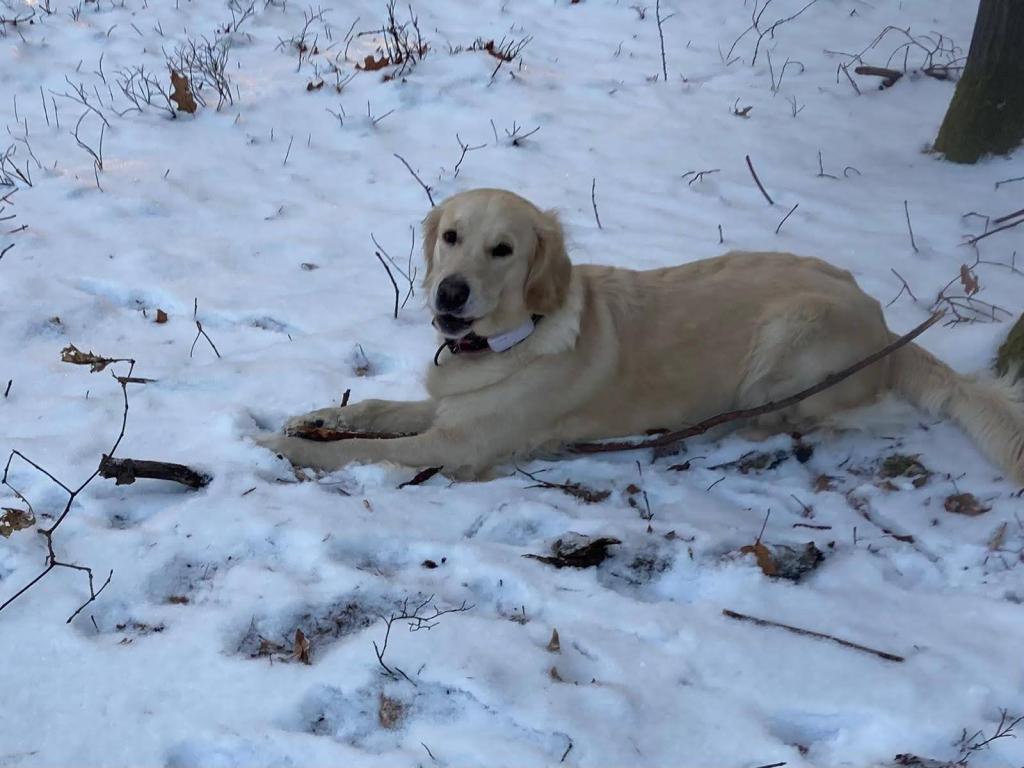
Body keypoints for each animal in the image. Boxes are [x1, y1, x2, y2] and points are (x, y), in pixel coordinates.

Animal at [255, 188, 1024, 483]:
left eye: (503, 250)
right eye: (451, 236)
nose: (450, 292)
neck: (510, 339)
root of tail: (888, 321)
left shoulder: (456, 445)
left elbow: (359, 452)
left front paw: (279, 447)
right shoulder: (448, 404)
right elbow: (375, 408)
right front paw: (314, 415)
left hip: (793, 334)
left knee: (809, 415)